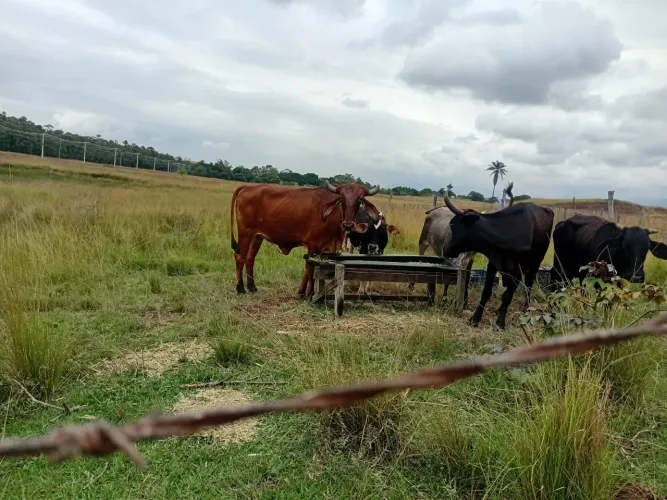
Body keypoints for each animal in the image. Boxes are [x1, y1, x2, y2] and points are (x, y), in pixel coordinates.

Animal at [230, 181, 380, 297]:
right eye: (342, 199)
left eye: (359, 200)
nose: (348, 224)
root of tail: (247, 187)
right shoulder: (312, 245)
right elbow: (310, 269)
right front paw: (307, 293)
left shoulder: (327, 248)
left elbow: (313, 271)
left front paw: (304, 292)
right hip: (245, 233)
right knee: (240, 257)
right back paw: (240, 288)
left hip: (257, 237)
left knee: (250, 259)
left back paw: (252, 287)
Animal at [441, 196, 554, 330]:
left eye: (453, 226)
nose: (445, 249)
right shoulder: (493, 264)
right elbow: (486, 292)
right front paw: (475, 319)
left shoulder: (518, 271)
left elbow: (508, 296)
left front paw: (500, 322)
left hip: (535, 264)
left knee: (528, 286)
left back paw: (525, 309)